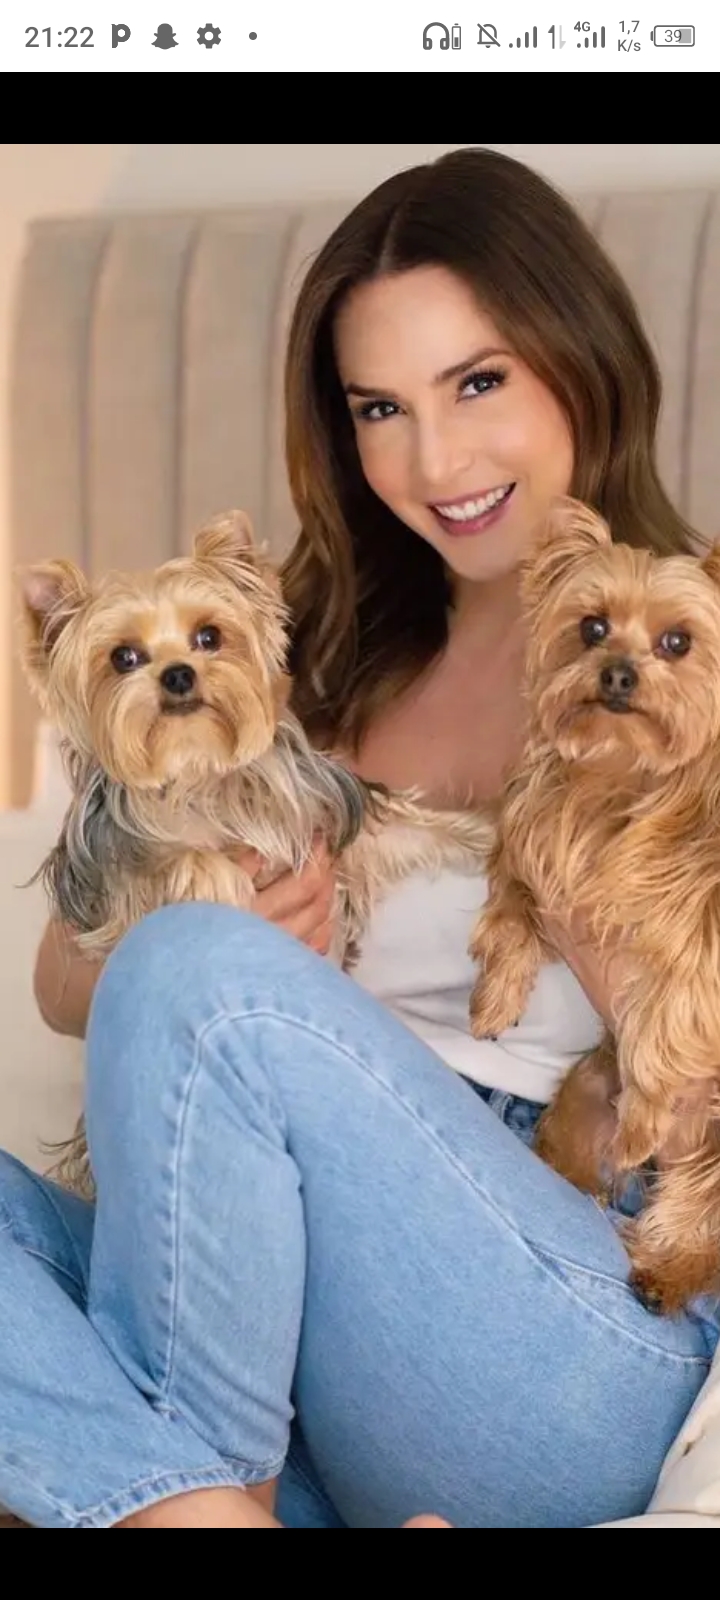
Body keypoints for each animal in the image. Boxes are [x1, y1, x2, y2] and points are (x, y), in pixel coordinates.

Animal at [20, 510, 492, 1196]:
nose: (178, 674)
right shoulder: (115, 875)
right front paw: (221, 884)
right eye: (123, 657)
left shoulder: (332, 822)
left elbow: (405, 827)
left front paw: (489, 831)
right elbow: (174, 865)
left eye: (209, 636)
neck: (202, 773)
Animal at [468, 496, 720, 1314]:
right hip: (582, 1093)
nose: (616, 673)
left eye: (678, 641)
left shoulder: (700, 941)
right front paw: (494, 999)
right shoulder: (538, 855)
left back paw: (664, 1270)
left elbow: (667, 1019)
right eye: (592, 627)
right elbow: (510, 909)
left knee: (697, 1213)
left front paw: (646, 1116)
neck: (619, 777)